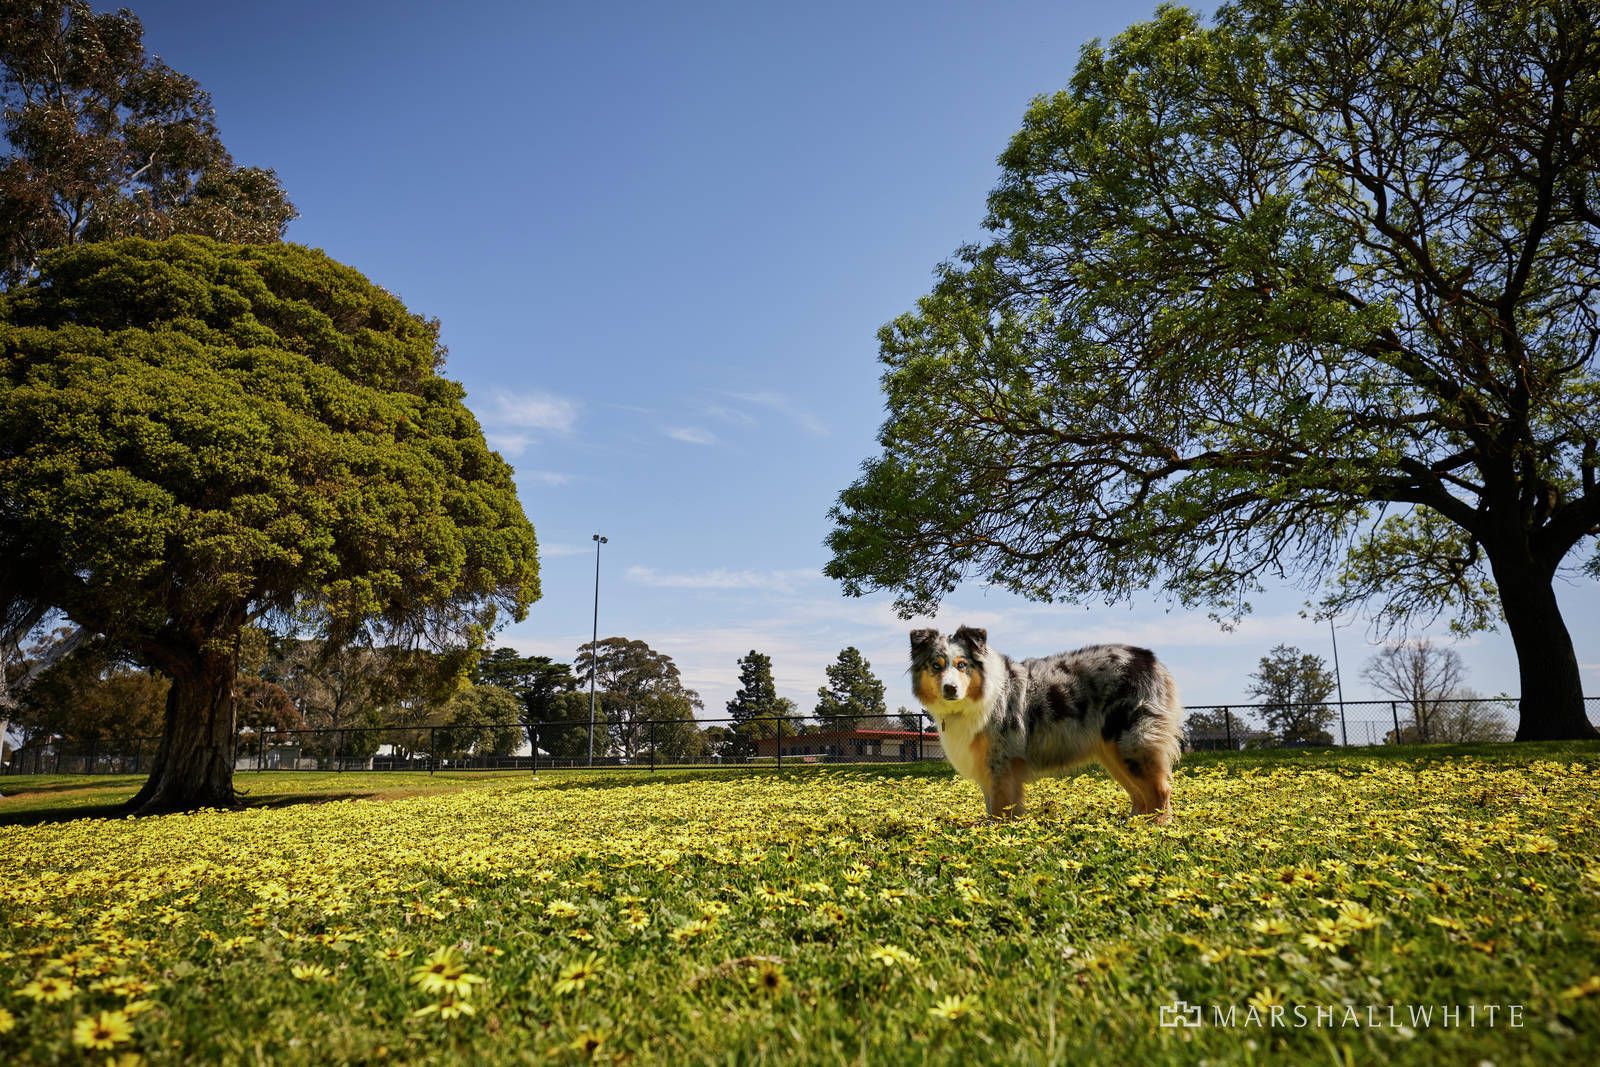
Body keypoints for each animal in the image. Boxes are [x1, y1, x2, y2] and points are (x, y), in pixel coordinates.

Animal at [915, 630, 1177, 825]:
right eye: (936, 666)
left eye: (962, 665)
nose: (950, 689)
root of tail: (1150, 659)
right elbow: (992, 807)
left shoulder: (1001, 764)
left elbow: (1000, 808)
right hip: (1113, 753)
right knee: (1139, 794)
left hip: (1131, 744)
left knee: (1159, 791)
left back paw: (1154, 828)